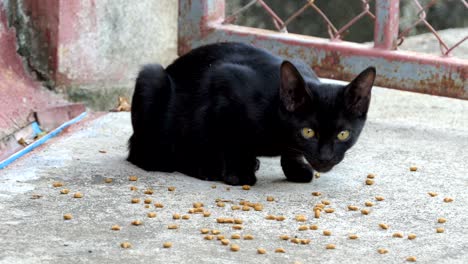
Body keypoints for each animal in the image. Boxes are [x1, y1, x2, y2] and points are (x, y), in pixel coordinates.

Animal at [126, 41, 374, 186]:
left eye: (343, 134)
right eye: (308, 132)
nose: (325, 158)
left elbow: (291, 151)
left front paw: (295, 168)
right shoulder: (224, 87)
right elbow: (231, 142)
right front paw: (238, 173)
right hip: (152, 79)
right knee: (151, 154)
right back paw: (204, 168)